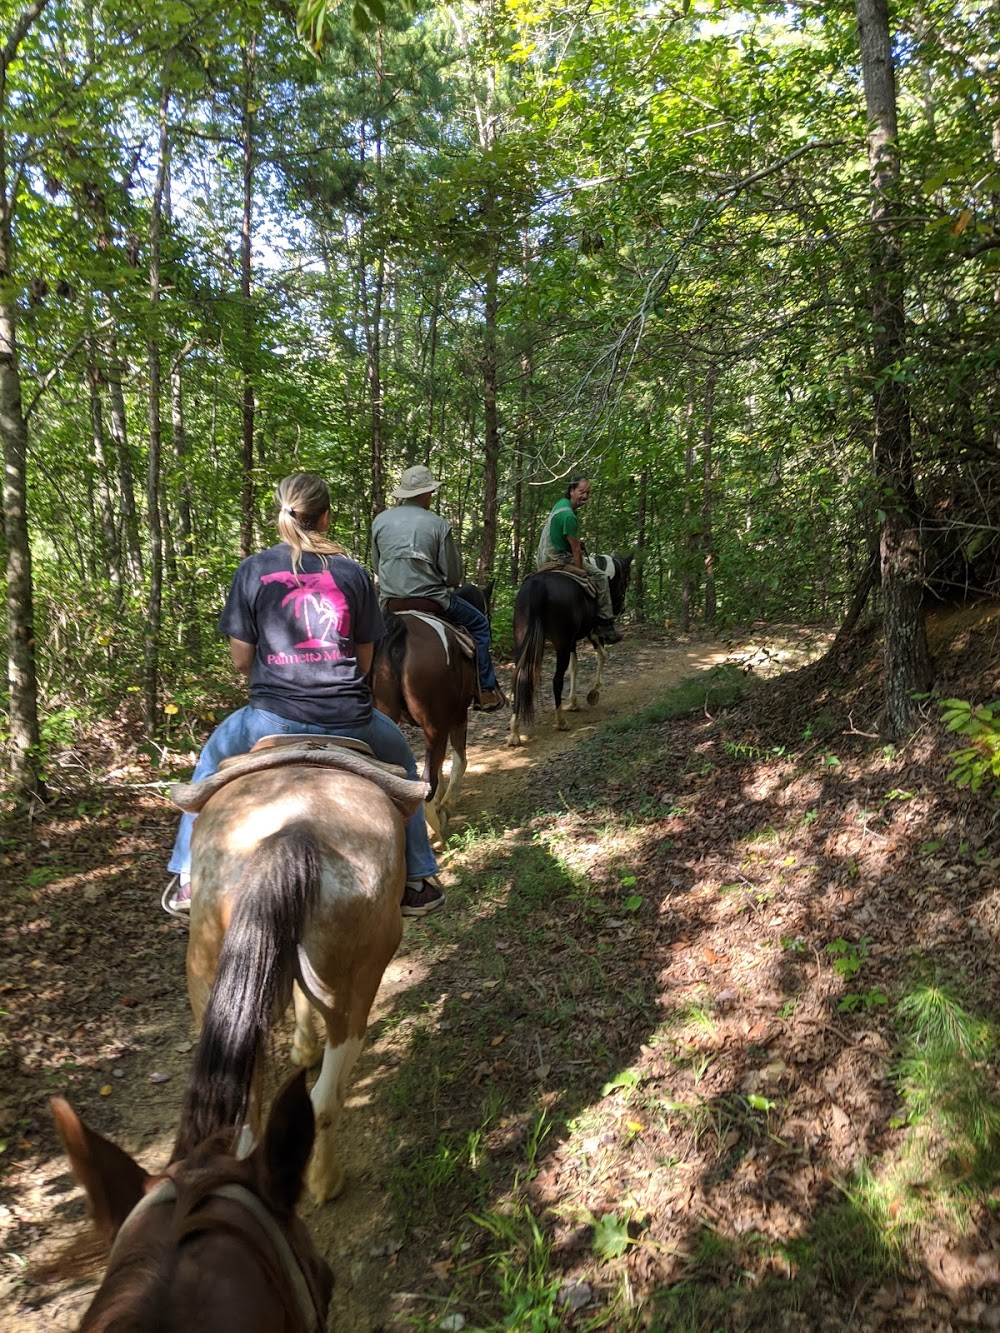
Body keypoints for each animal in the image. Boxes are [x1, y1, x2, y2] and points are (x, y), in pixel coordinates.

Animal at [370, 578, 496, 837]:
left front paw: (440, 803)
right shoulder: (457, 716)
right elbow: (459, 761)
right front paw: (445, 807)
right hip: (435, 724)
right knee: (426, 781)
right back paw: (435, 832)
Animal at [512, 549, 629, 746]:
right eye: (626, 581)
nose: (621, 608)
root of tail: (538, 584)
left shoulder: (572, 641)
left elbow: (574, 668)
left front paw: (573, 702)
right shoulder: (592, 633)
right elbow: (602, 655)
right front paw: (593, 692)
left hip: (526, 642)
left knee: (519, 678)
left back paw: (514, 733)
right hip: (561, 644)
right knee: (556, 680)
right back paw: (560, 722)